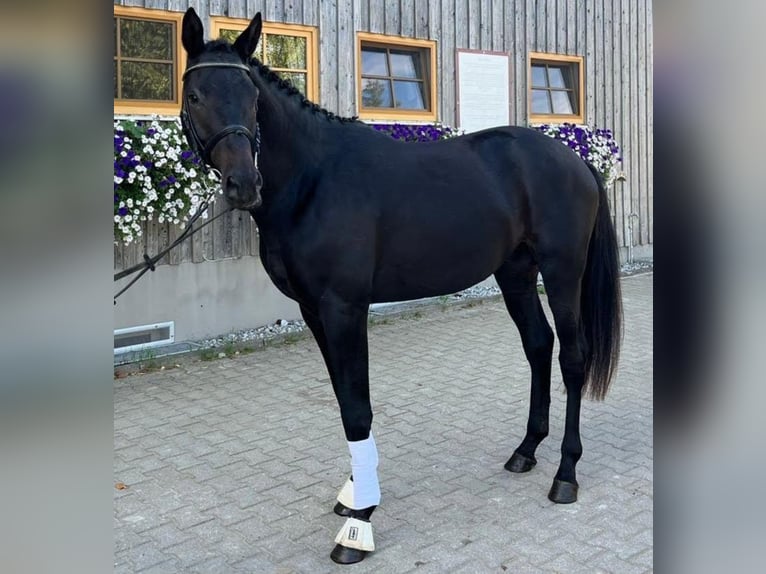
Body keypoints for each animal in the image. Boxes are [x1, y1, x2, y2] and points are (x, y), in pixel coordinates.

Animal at [182, 9, 624, 568]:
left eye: (251, 97)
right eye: (196, 94)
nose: (244, 184)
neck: (314, 180)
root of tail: (575, 159)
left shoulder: (344, 309)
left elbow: (357, 408)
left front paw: (358, 524)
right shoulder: (313, 312)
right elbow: (344, 400)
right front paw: (355, 493)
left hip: (564, 271)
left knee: (572, 356)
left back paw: (566, 475)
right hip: (516, 274)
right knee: (538, 345)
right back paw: (526, 451)